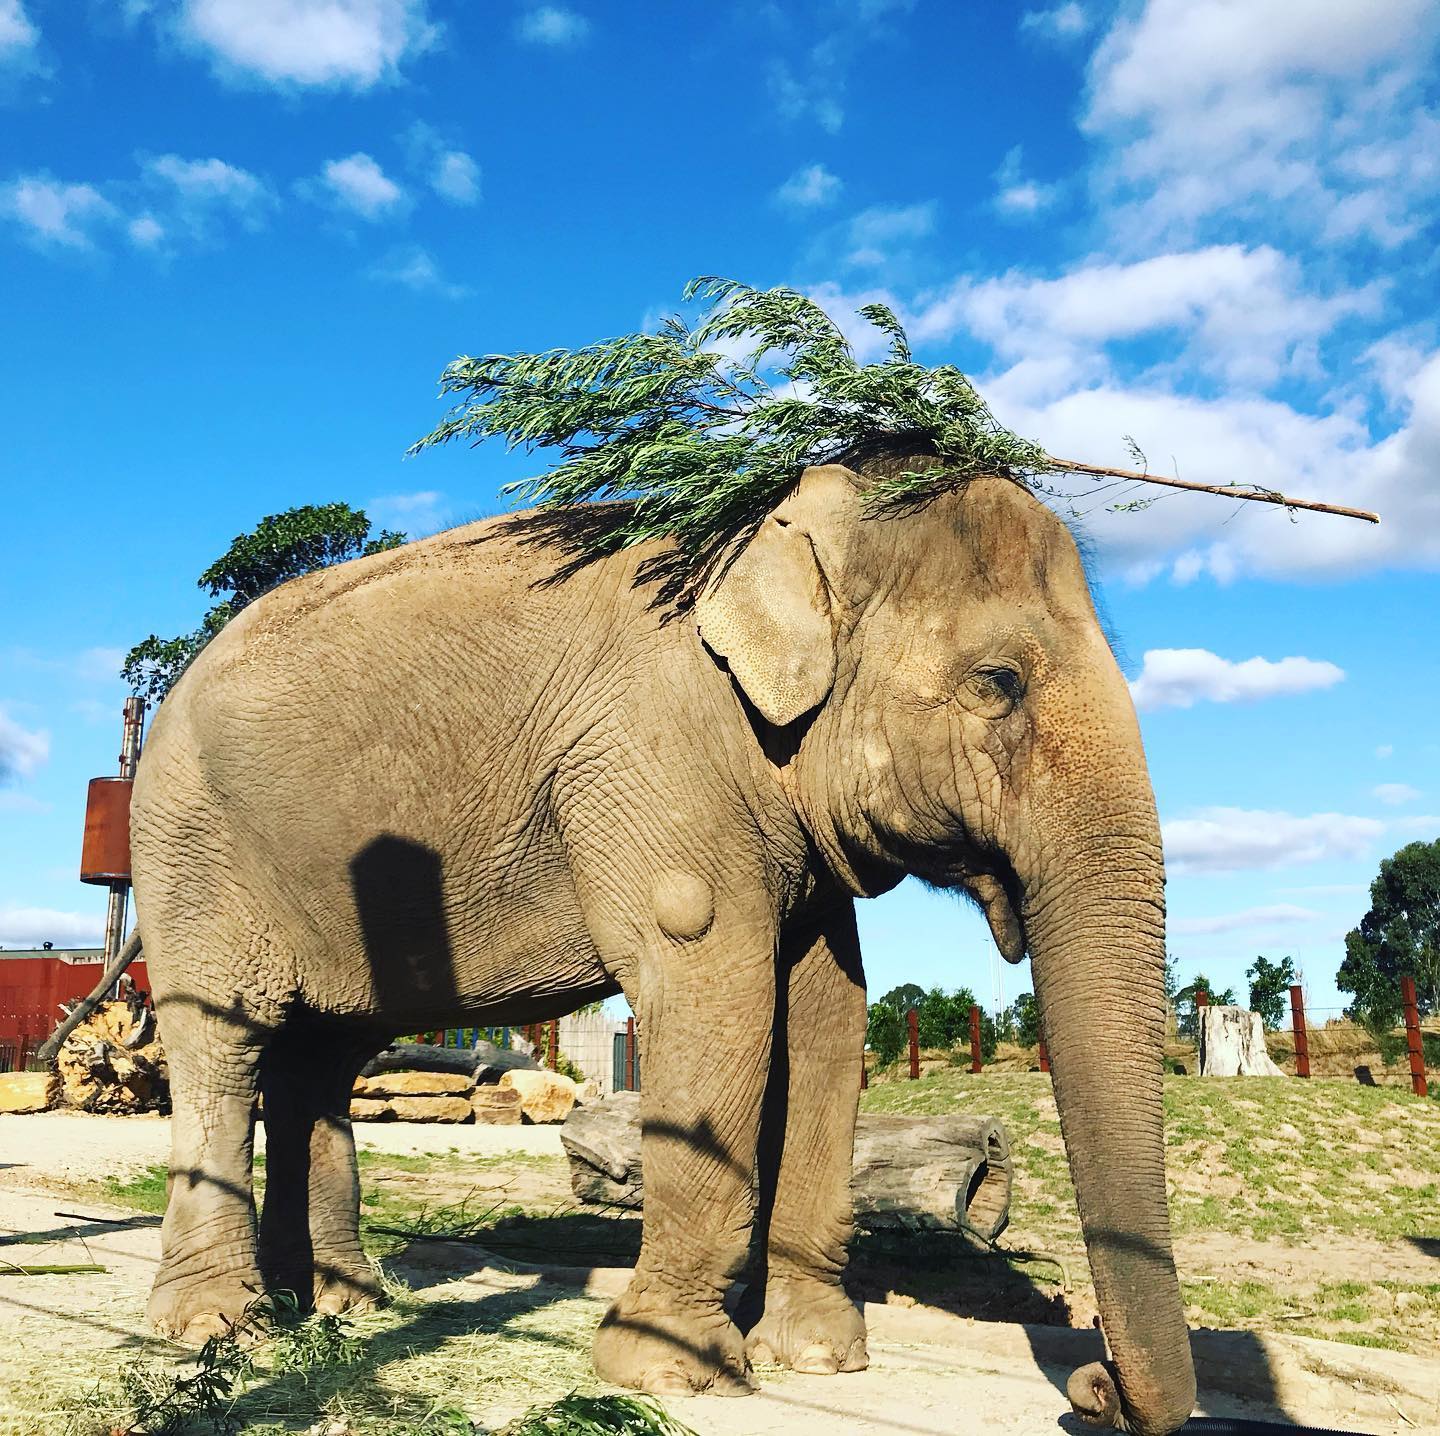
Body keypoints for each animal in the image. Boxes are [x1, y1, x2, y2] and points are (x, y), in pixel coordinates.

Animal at [132, 443, 1192, 1428]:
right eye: (998, 682)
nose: (1096, 1387)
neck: (778, 521)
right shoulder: (656, 753)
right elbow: (715, 988)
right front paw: (676, 1373)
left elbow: (827, 1015)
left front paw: (820, 1360)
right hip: (192, 850)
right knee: (225, 1038)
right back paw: (220, 1327)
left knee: (318, 1056)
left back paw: (336, 1308)